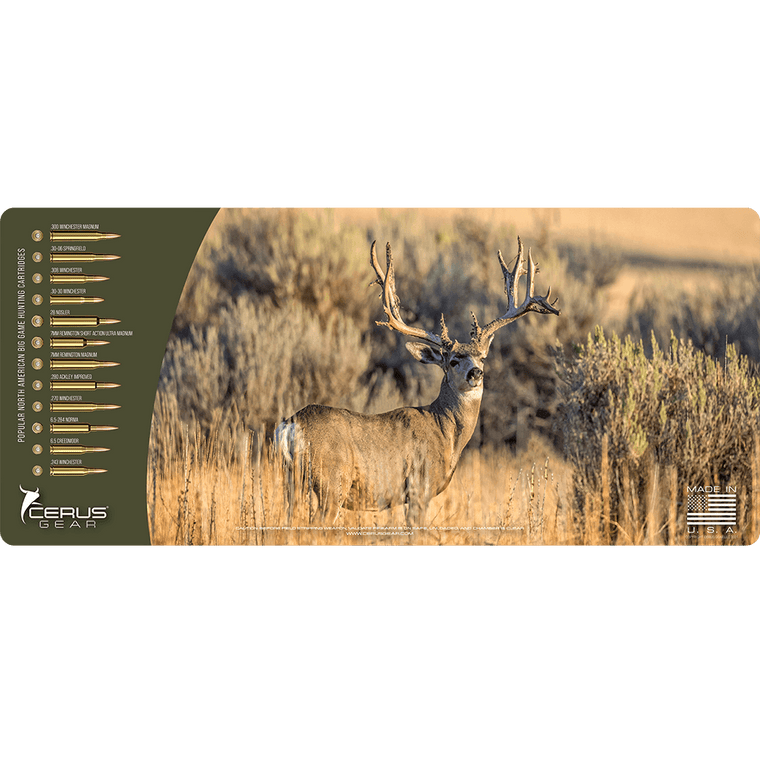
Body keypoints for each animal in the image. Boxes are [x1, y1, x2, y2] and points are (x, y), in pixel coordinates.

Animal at [275, 237, 560, 524]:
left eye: (482, 358)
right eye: (453, 360)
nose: (475, 374)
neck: (445, 433)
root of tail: (290, 426)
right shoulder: (419, 486)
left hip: (292, 481)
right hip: (332, 482)